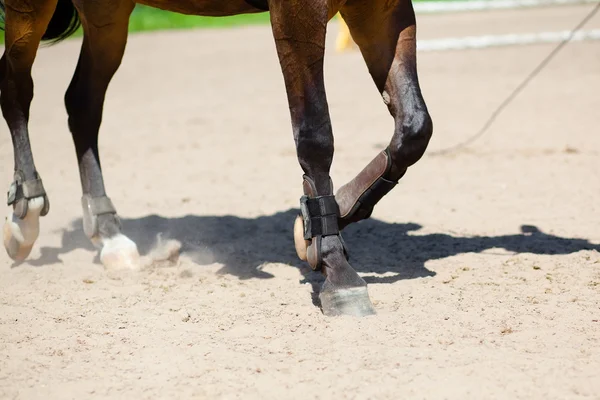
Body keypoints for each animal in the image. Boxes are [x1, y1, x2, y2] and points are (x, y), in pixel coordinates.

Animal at [0, 0, 432, 318]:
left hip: (107, 15)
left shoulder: (383, 7)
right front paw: (335, 268)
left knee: (82, 103)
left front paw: (323, 221)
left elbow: (414, 129)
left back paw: (109, 235)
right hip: (31, 8)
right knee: (16, 85)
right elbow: (315, 134)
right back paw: (25, 214)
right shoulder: (299, 11)